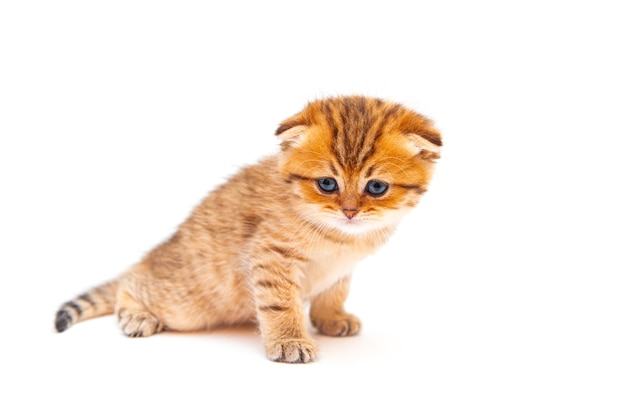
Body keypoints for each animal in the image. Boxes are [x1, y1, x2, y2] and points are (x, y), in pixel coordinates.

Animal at [54, 94, 438, 360]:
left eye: (377, 187)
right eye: (327, 184)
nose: (349, 211)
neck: (341, 238)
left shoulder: (341, 268)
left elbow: (335, 291)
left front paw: (332, 317)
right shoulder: (270, 255)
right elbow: (280, 304)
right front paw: (289, 339)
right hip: (184, 304)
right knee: (129, 281)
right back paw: (135, 314)